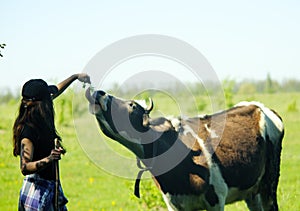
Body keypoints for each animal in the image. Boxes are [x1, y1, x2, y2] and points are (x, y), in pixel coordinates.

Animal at [84, 88, 284, 210]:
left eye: (132, 105)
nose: (99, 92)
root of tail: (259, 105)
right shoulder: (174, 203)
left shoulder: (216, 198)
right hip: (252, 191)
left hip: (270, 182)